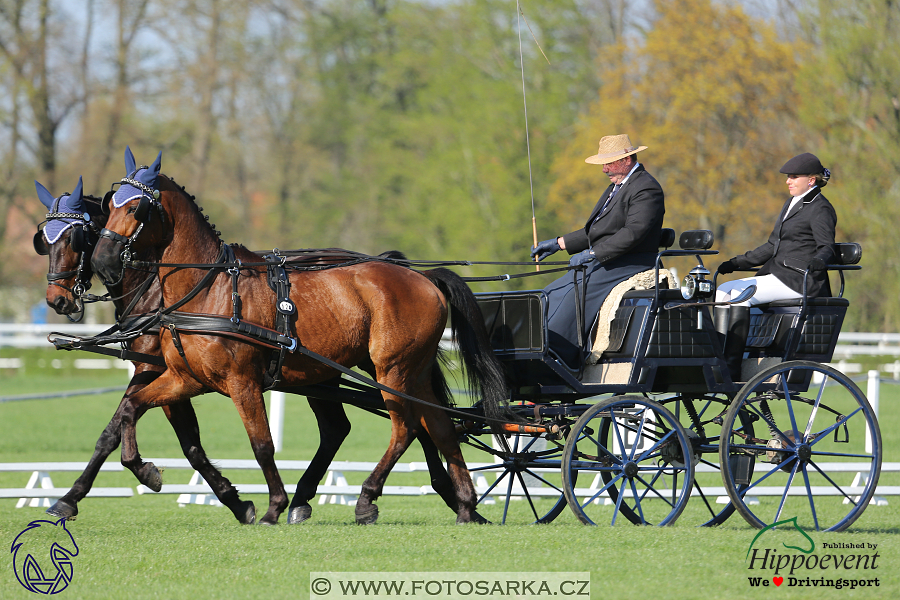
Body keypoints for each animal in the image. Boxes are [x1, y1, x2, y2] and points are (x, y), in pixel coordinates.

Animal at [33, 172, 478, 520]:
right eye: (45, 239)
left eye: (76, 236)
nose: (57, 300)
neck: (201, 288)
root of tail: (417, 275)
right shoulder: (175, 374)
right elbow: (148, 430)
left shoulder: (196, 374)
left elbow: (250, 443)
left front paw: (257, 504)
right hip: (352, 372)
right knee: (423, 423)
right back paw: (461, 503)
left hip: (389, 369)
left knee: (408, 425)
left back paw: (372, 498)